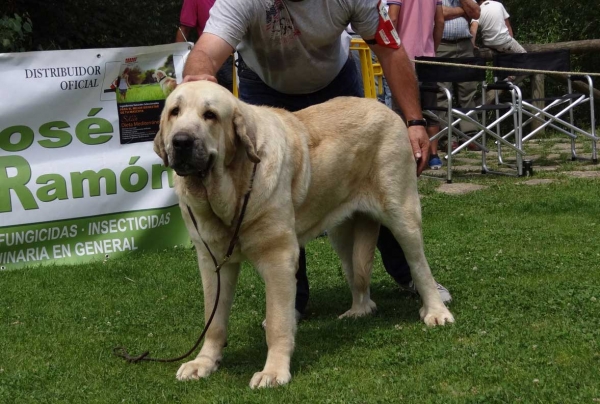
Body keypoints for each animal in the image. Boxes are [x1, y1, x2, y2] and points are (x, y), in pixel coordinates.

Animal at [152, 79, 452, 388]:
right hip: (342, 233)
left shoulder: (279, 258)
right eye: (175, 112)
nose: (181, 141)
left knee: (419, 265)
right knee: (356, 272)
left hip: (401, 214)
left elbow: (277, 321)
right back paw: (359, 310)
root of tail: (382, 106)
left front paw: (273, 372)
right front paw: (204, 362)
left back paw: (436, 312)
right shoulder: (213, 262)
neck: (232, 188)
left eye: (210, 115)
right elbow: (213, 320)